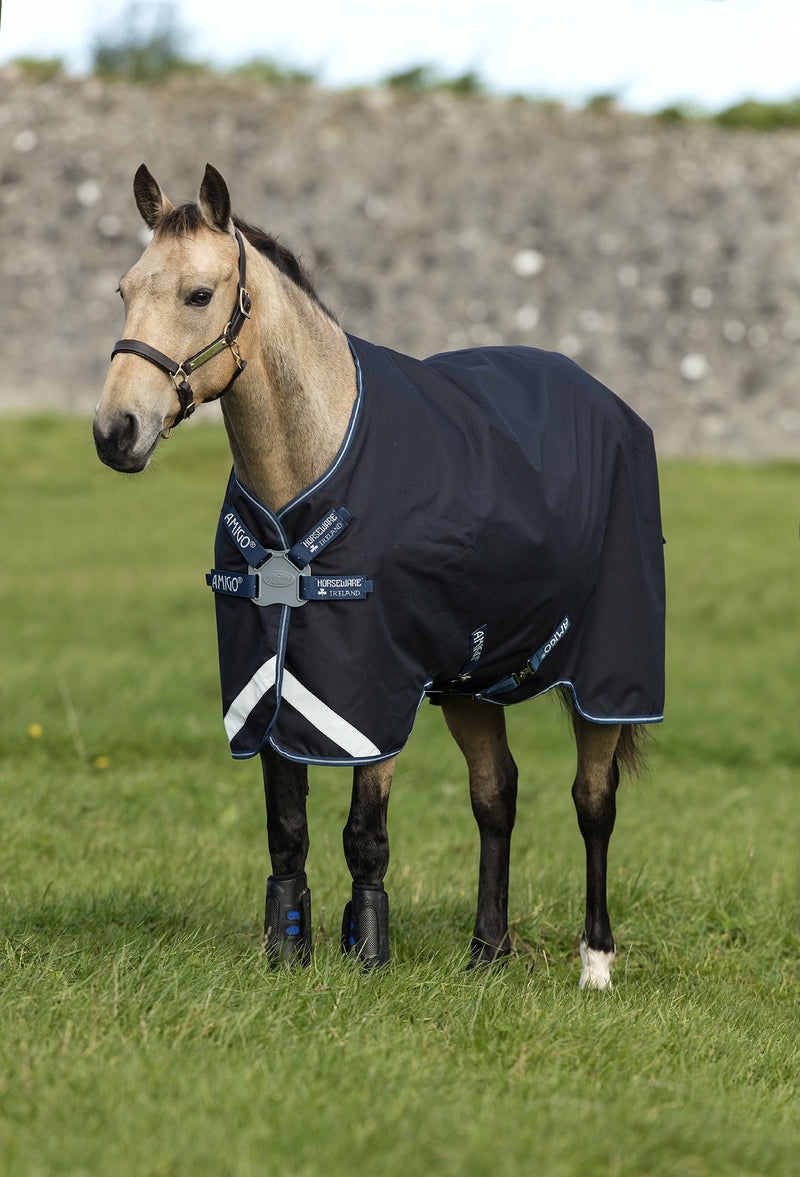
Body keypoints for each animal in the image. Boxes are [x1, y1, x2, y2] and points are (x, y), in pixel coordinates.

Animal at [94, 164, 665, 989]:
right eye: (124, 289)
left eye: (198, 294)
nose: (116, 432)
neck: (307, 483)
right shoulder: (269, 677)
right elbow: (287, 827)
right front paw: (287, 950)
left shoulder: (373, 689)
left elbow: (365, 830)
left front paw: (366, 952)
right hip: (470, 681)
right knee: (496, 795)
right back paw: (486, 951)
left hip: (606, 675)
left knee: (594, 800)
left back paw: (595, 963)